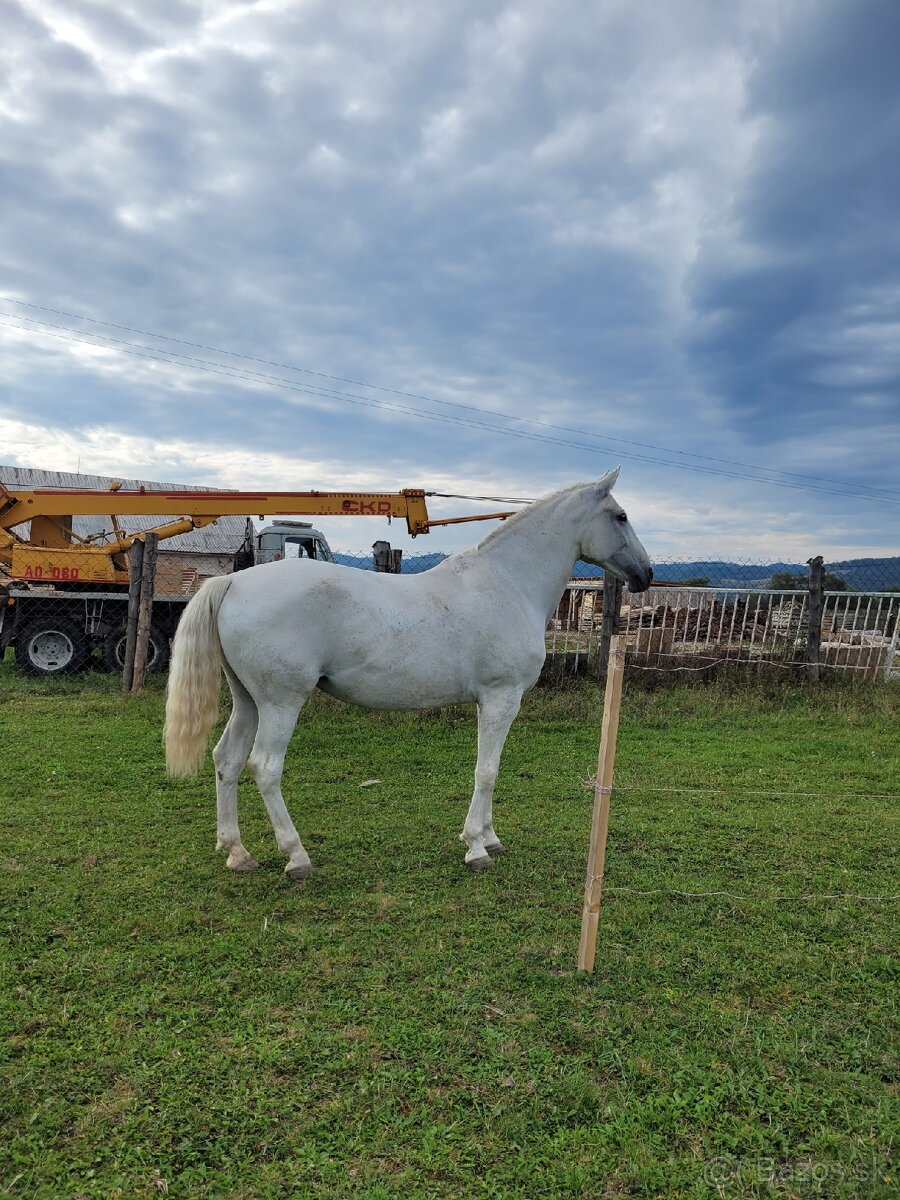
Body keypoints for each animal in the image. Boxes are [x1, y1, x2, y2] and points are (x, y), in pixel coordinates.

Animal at [165, 472, 652, 878]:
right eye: (621, 516)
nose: (646, 573)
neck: (507, 584)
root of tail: (233, 582)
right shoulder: (501, 698)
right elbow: (487, 771)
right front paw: (477, 848)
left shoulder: (493, 702)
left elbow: (488, 768)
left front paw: (490, 838)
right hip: (281, 703)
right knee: (265, 767)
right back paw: (297, 857)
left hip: (249, 701)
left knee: (226, 760)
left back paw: (237, 851)